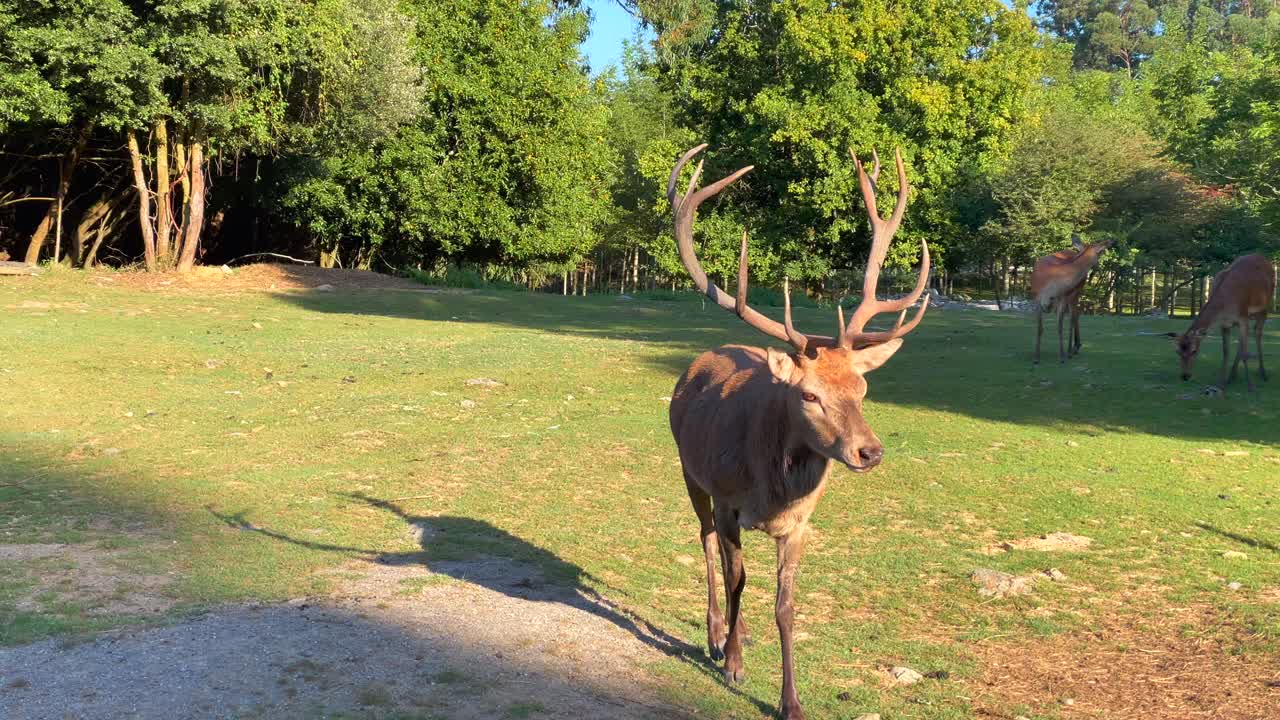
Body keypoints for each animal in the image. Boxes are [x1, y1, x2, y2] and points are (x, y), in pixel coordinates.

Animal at [666, 144, 929, 720]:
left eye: (863, 387)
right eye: (808, 395)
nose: (870, 451)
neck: (773, 492)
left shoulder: (803, 522)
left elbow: (786, 605)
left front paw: (791, 701)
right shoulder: (728, 500)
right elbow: (738, 578)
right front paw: (733, 664)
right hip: (688, 471)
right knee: (705, 541)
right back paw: (716, 635)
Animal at [1030, 234, 1113, 364]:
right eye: (1100, 249)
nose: (1110, 240)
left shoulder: (1063, 298)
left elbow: (1060, 327)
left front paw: (1062, 356)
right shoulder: (1036, 297)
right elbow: (1040, 328)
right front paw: (1036, 357)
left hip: (1076, 293)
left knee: (1074, 316)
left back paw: (1072, 349)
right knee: (1074, 315)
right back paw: (1074, 348)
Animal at [1166, 253, 1275, 391]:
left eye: (1194, 351)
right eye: (1177, 351)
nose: (1185, 376)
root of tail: (1263, 258)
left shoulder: (1243, 317)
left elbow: (1245, 354)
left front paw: (1251, 386)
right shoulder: (1224, 324)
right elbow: (1225, 351)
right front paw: (1221, 383)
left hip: (1264, 306)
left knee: (1257, 332)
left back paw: (1263, 373)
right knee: (1242, 340)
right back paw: (1232, 376)